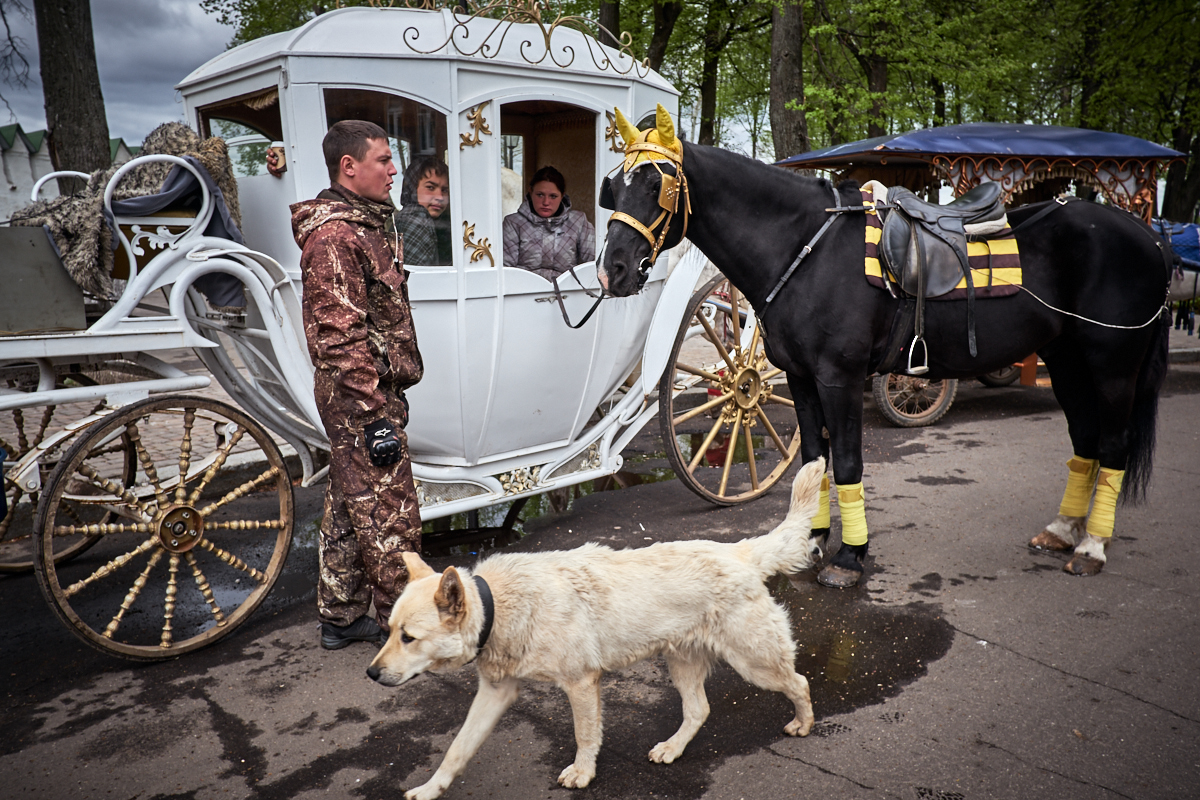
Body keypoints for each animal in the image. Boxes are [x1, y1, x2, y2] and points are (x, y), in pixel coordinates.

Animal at [364, 455, 830, 800]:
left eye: (408, 638)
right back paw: (673, 747)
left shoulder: (581, 684)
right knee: (699, 710)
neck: (501, 605)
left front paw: (583, 773)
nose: (370, 673)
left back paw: (803, 723)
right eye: (388, 630)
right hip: (683, 665)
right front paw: (430, 789)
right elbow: (457, 749)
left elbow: (585, 735)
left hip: (756, 663)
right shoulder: (495, 694)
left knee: (800, 682)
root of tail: (739, 551)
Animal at [604, 110, 1166, 587]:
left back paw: (1091, 546)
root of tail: (1144, 233)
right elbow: (814, 462)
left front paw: (850, 556)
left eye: (657, 183)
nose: (611, 269)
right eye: (614, 185)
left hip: (1113, 368)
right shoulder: (802, 379)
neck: (807, 248)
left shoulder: (840, 377)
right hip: (1068, 361)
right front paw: (810, 540)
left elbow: (848, 463)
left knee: (1113, 446)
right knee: (1085, 440)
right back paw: (1064, 530)